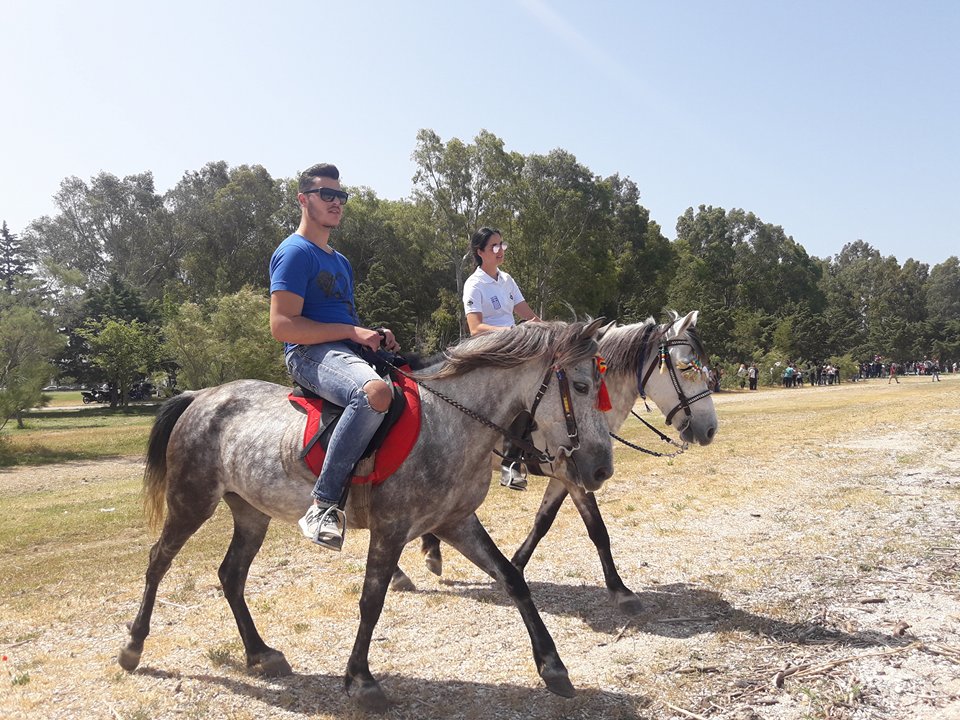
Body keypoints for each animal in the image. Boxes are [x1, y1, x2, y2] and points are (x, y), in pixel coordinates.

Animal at [120, 320, 616, 708]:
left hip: (251, 513)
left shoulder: (455, 522)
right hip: (191, 501)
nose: (600, 468)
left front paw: (553, 667)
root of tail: (202, 396)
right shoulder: (391, 529)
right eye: (582, 387)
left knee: (231, 575)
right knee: (158, 561)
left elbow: (513, 580)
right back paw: (133, 646)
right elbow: (371, 601)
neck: (450, 422)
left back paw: (261, 653)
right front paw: (361, 680)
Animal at [408, 310, 716, 612]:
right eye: (687, 368)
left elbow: (543, 521)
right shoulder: (573, 474)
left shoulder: (570, 473)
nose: (710, 429)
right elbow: (597, 528)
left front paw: (517, 564)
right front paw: (620, 591)